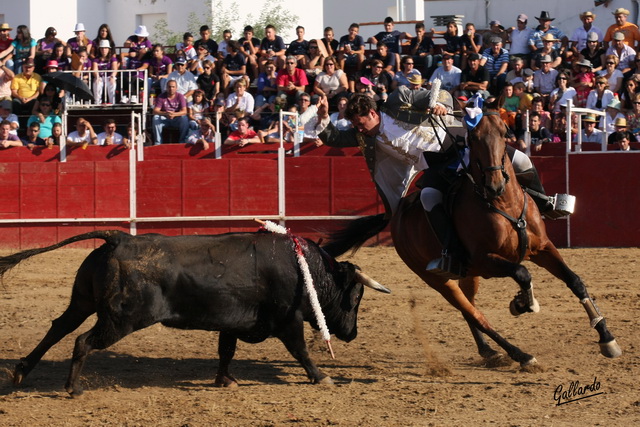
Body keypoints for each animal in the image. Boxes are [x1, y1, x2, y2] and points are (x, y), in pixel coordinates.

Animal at [0, 231, 388, 394]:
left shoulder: (234, 320)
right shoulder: (287, 320)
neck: (305, 268)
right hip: (120, 318)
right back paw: (73, 388)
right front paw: (322, 376)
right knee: (82, 341)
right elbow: (301, 350)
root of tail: (119, 238)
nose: (352, 332)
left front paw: (225, 380)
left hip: (81, 302)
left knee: (58, 328)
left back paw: (21, 372)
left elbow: (226, 350)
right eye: (355, 296)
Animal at [324, 110, 620, 368]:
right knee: (476, 315)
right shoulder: (487, 260)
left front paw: (607, 339)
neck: (503, 203)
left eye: (504, 133)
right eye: (473, 137)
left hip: (468, 274)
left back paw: (489, 351)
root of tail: (395, 215)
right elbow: (522, 273)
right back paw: (520, 355)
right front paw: (522, 303)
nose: (495, 183)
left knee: (470, 309)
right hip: (437, 279)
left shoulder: (543, 248)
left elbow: (575, 281)